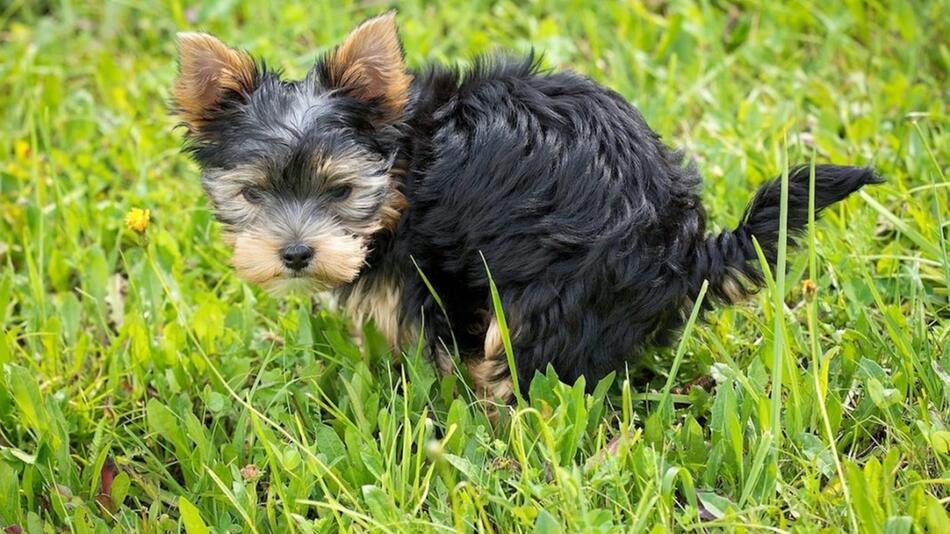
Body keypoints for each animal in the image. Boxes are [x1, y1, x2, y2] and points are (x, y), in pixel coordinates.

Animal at [169, 12, 876, 406]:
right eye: (254, 193)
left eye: (340, 191)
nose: (295, 254)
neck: (404, 166)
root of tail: (684, 248)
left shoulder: (434, 271)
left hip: (558, 290)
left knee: (526, 361)